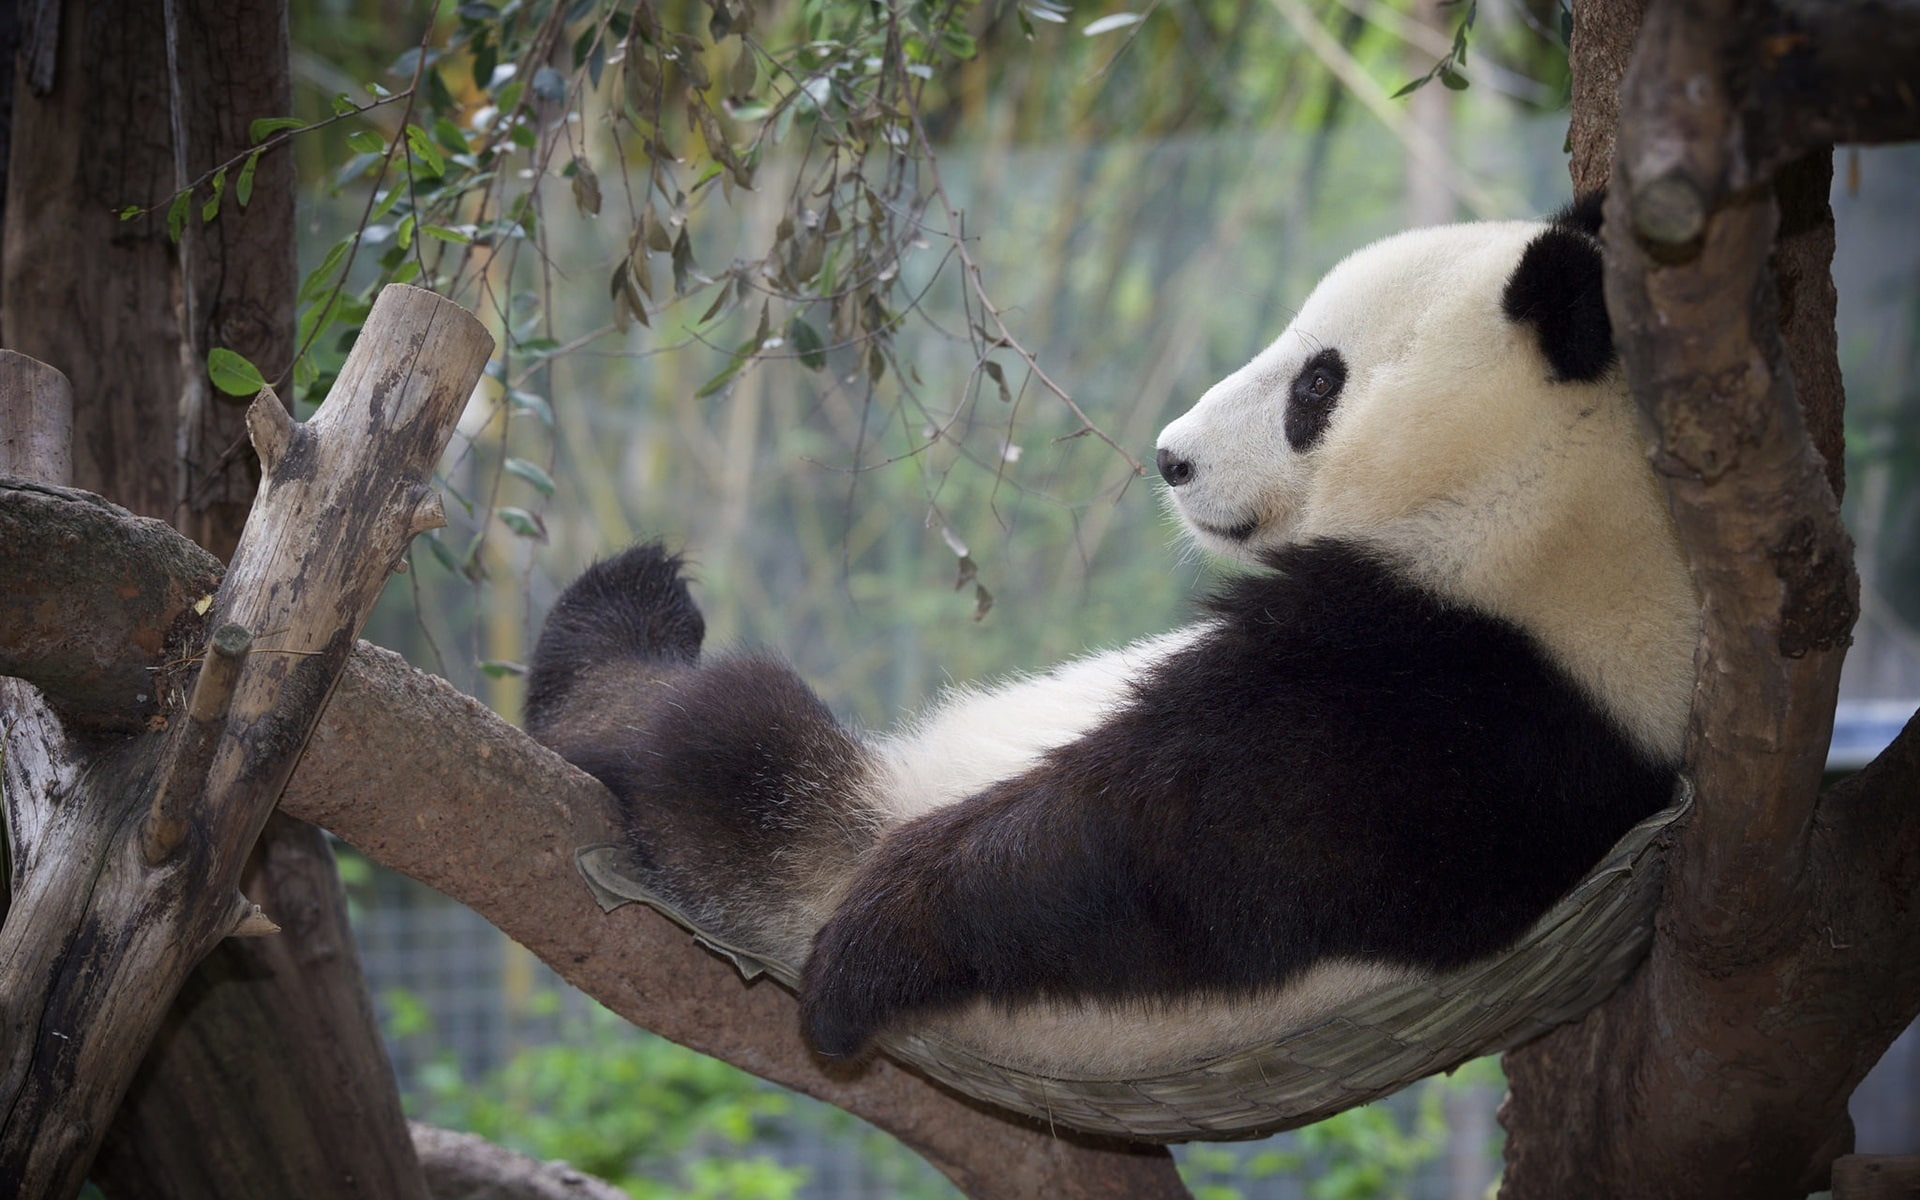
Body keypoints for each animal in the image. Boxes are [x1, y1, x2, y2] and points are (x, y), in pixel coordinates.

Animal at [525, 197, 1699, 1077]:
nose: (1172, 458)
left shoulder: (1454, 703)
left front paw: (874, 949)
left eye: (1318, 383)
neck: (1547, 507)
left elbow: (1162, 849)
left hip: (832, 820)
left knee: (725, 742)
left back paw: (622, 639)